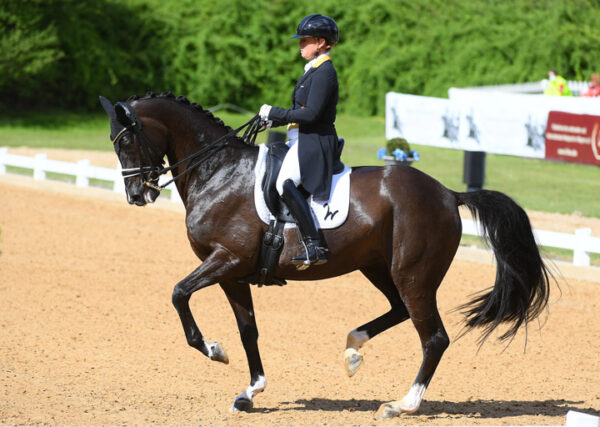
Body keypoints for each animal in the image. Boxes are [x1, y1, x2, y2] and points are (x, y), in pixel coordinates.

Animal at [99, 92, 552, 420]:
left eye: (127, 140)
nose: (136, 195)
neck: (219, 173)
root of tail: (447, 194)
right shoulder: (234, 274)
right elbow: (249, 331)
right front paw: (250, 392)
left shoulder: (226, 260)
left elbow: (179, 294)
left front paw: (213, 350)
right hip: (378, 267)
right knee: (399, 311)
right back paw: (353, 350)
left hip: (414, 275)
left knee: (434, 338)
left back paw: (402, 405)